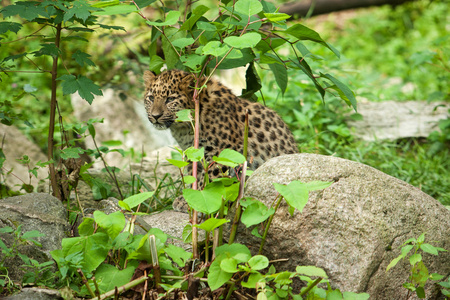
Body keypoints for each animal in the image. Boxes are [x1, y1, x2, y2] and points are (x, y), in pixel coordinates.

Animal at [144, 69, 298, 211]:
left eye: (170, 99)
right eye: (151, 98)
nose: (155, 116)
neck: (183, 127)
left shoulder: (221, 151)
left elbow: (210, 178)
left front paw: (200, 198)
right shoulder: (193, 152)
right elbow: (193, 175)